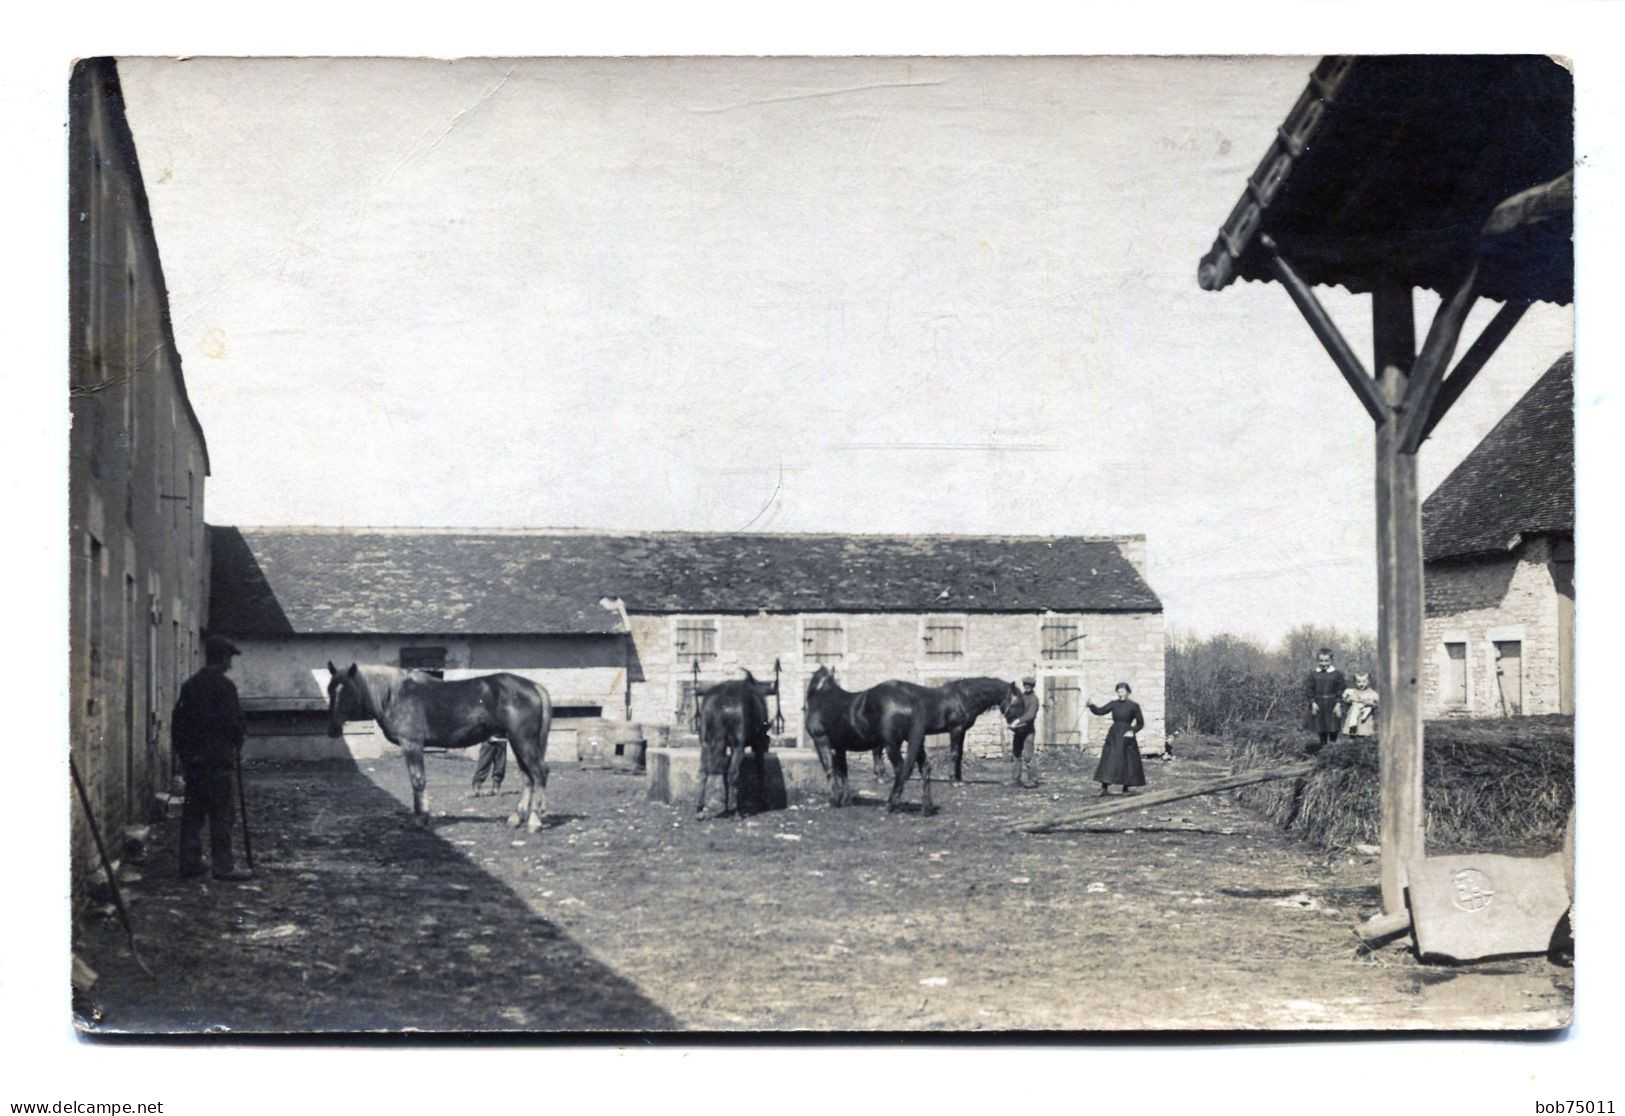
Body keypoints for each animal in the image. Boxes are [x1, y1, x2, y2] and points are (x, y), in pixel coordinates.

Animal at [326, 662, 555, 828]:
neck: (394, 694)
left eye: (346, 693)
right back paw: (517, 818)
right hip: (518, 743)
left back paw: (534, 821)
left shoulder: (412, 745)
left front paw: (421, 819)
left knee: (539, 773)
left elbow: (418, 781)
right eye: (330, 690)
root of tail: (533, 687)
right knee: (528, 777)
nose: (332, 730)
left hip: (522, 741)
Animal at [695, 672, 776, 821]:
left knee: (704, 772)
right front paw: (763, 802)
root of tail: (720, 702)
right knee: (733, 773)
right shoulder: (756, 744)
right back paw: (735, 810)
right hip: (739, 746)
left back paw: (700, 808)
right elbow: (760, 768)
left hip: (705, 743)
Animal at [799, 669, 1014, 815]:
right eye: (1017, 697)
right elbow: (840, 771)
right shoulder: (956, 729)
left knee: (896, 765)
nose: (1015, 724)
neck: (961, 697)